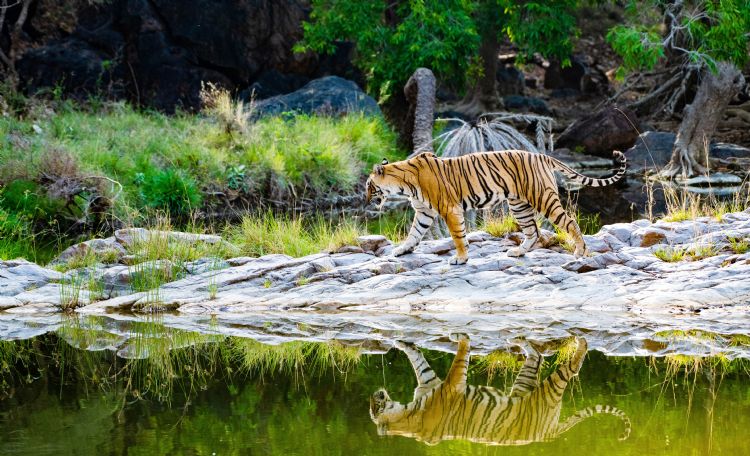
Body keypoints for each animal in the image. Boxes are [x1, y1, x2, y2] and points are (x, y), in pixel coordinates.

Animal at [366, 150, 628, 264]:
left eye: (369, 186)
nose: (365, 198)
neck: (403, 184)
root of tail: (543, 155)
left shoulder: (450, 209)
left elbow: (458, 236)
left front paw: (461, 258)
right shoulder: (424, 212)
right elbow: (414, 234)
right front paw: (401, 250)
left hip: (543, 198)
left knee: (569, 222)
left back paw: (580, 252)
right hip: (519, 205)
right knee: (533, 232)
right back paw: (518, 252)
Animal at [372, 334, 636, 446]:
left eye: (375, 404)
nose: (376, 394)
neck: (406, 414)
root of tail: (548, 435)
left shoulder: (441, 384)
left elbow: (437, 361)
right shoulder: (440, 384)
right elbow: (435, 361)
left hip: (537, 386)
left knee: (554, 361)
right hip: (534, 387)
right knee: (549, 360)